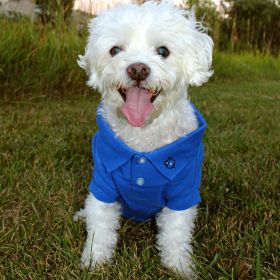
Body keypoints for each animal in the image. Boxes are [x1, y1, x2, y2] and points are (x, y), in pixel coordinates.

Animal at [74, 1, 212, 278]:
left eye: (163, 51)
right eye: (115, 50)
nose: (138, 69)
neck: (142, 138)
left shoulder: (183, 192)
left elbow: (176, 236)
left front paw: (180, 267)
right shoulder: (103, 185)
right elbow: (100, 229)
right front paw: (94, 262)